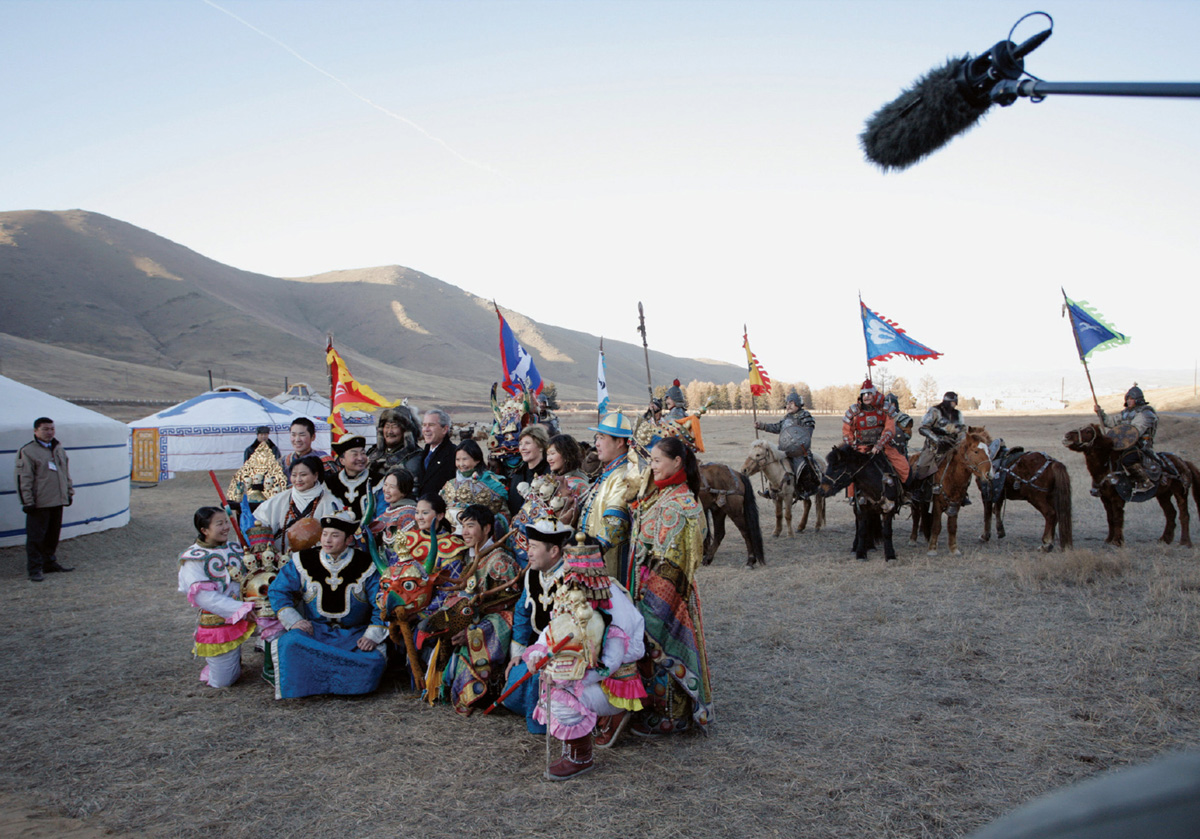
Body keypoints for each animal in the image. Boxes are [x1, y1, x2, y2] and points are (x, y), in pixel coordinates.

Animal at [907, 427, 993, 556]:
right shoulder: (937, 503)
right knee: (916, 517)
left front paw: (953, 549)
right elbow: (937, 526)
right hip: (916, 501)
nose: (989, 474)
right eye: (976, 451)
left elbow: (952, 526)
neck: (952, 476)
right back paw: (913, 539)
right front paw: (932, 549)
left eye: (989, 451)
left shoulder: (955, 503)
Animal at [1065, 422, 1195, 547]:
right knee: (1170, 513)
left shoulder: (1117, 498)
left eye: (1088, 431)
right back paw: (1165, 539)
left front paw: (1117, 541)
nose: (1067, 436)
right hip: (1163, 495)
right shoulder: (1105, 498)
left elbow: (1117, 518)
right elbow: (1110, 518)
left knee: (1184, 515)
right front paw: (1109, 539)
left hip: (1180, 492)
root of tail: (1183, 462)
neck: (1106, 466)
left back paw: (1185, 542)